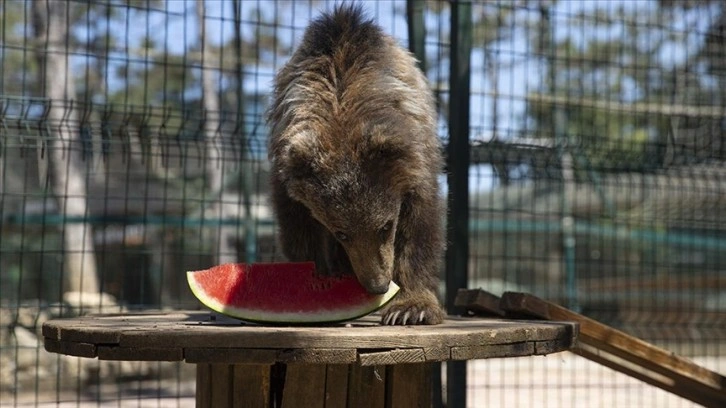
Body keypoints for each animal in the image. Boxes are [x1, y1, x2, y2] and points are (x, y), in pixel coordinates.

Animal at [270, 3, 446, 326]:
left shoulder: (416, 162)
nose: (377, 285)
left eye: (386, 226)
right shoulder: (287, 173)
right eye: (341, 232)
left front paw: (411, 307)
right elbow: (299, 231)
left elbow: (420, 228)